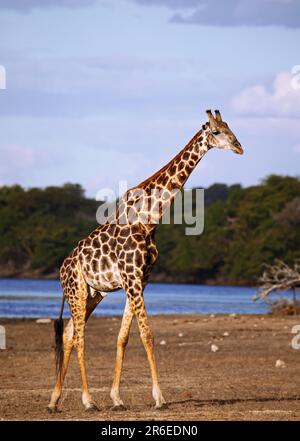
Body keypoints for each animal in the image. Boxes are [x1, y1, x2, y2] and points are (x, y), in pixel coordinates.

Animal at [47, 110, 244, 412]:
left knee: (68, 334)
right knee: (79, 337)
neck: (149, 220)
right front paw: (160, 398)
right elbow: (147, 335)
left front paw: (117, 398)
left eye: (229, 127)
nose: (239, 147)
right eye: (217, 131)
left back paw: (54, 400)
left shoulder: (140, 280)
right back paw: (88, 401)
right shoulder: (132, 279)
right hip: (76, 291)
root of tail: (61, 268)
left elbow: (124, 337)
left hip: (94, 294)